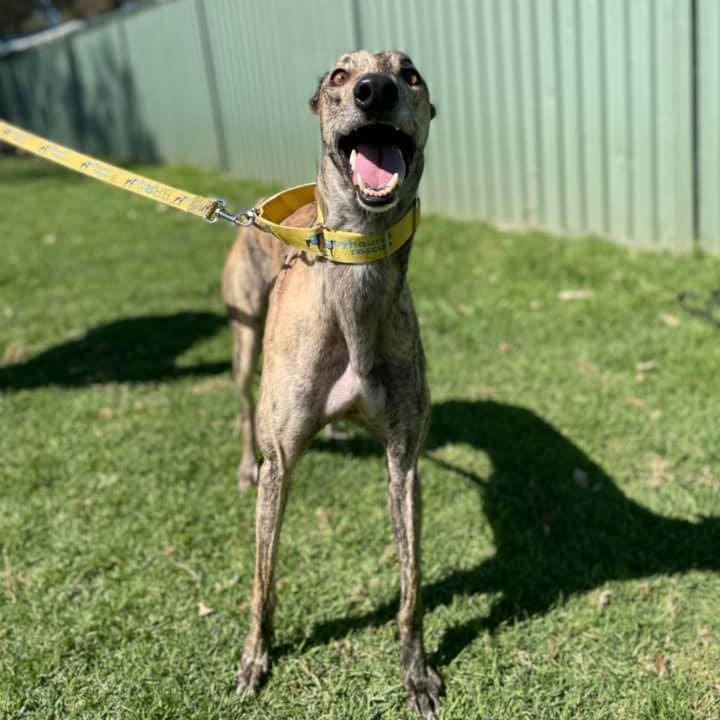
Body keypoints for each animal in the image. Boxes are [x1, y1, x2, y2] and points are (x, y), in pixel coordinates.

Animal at [222, 50, 441, 718]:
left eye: (411, 73)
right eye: (340, 76)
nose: (375, 91)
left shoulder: (404, 462)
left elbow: (411, 591)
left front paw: (416, 673)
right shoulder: (282, 462)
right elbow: (262, 581)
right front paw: (255, 659)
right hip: (245, 341)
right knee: (243, 407)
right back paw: (242, 462)